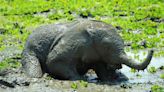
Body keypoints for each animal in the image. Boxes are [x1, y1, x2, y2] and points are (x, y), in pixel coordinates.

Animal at [21, 19, 154, 80]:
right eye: (106, 46)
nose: (152, 49)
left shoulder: (95, 53)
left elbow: (101, 68)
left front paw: (113, 79)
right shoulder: (72, 43)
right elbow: (53, 61)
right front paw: (81, 78)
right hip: (29, 51)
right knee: (34, 70)